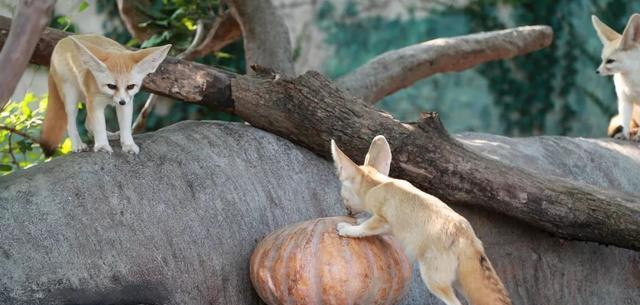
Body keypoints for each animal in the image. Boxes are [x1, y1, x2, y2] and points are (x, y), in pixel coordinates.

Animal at [41, 34, 171, 156]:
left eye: (130, 86)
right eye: (111, 86)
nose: (122, 102)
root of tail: (62, 41)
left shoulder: (127, 102)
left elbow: (125, 127)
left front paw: (128, 144)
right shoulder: (95, 103)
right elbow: (99, 126)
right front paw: (102, 146)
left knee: (87, 124)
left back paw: (110, 135)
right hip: (71, 98)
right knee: (71, 123)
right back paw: (78, 144)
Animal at [330, 137, 510, 304]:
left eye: (342, 194)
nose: (346, 211)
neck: (378, 185)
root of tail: (468, 237)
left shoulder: (384, 219)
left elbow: (366, 227)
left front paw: (349, 229)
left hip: (432, 279)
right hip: (458, 283)